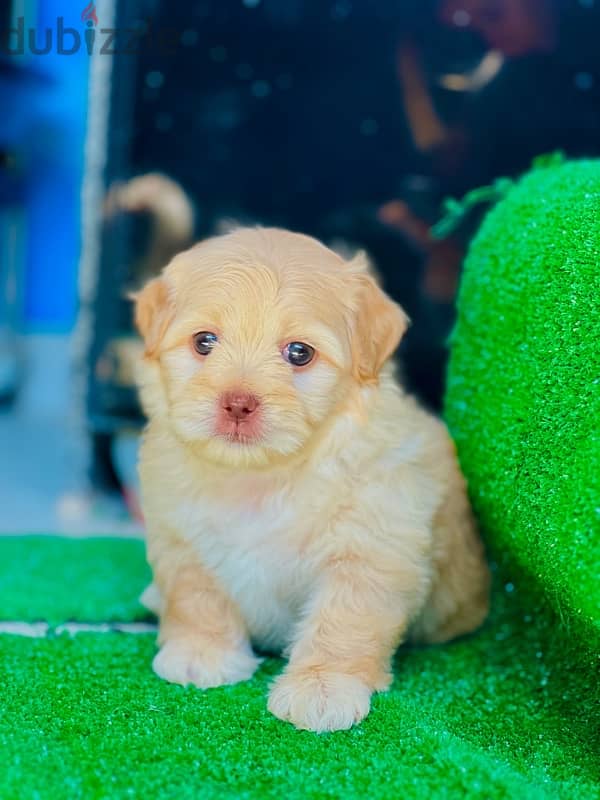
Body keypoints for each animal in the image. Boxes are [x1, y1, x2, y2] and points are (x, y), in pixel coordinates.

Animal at [134, 225, 490, 732]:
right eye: (204, 342)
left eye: (299, 353)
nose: (238, 403)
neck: (262, 476)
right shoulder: (180, 536)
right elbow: (196, 595)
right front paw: (201, 653)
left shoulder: (370, 549)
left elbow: (343, 620)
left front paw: (323, 687)